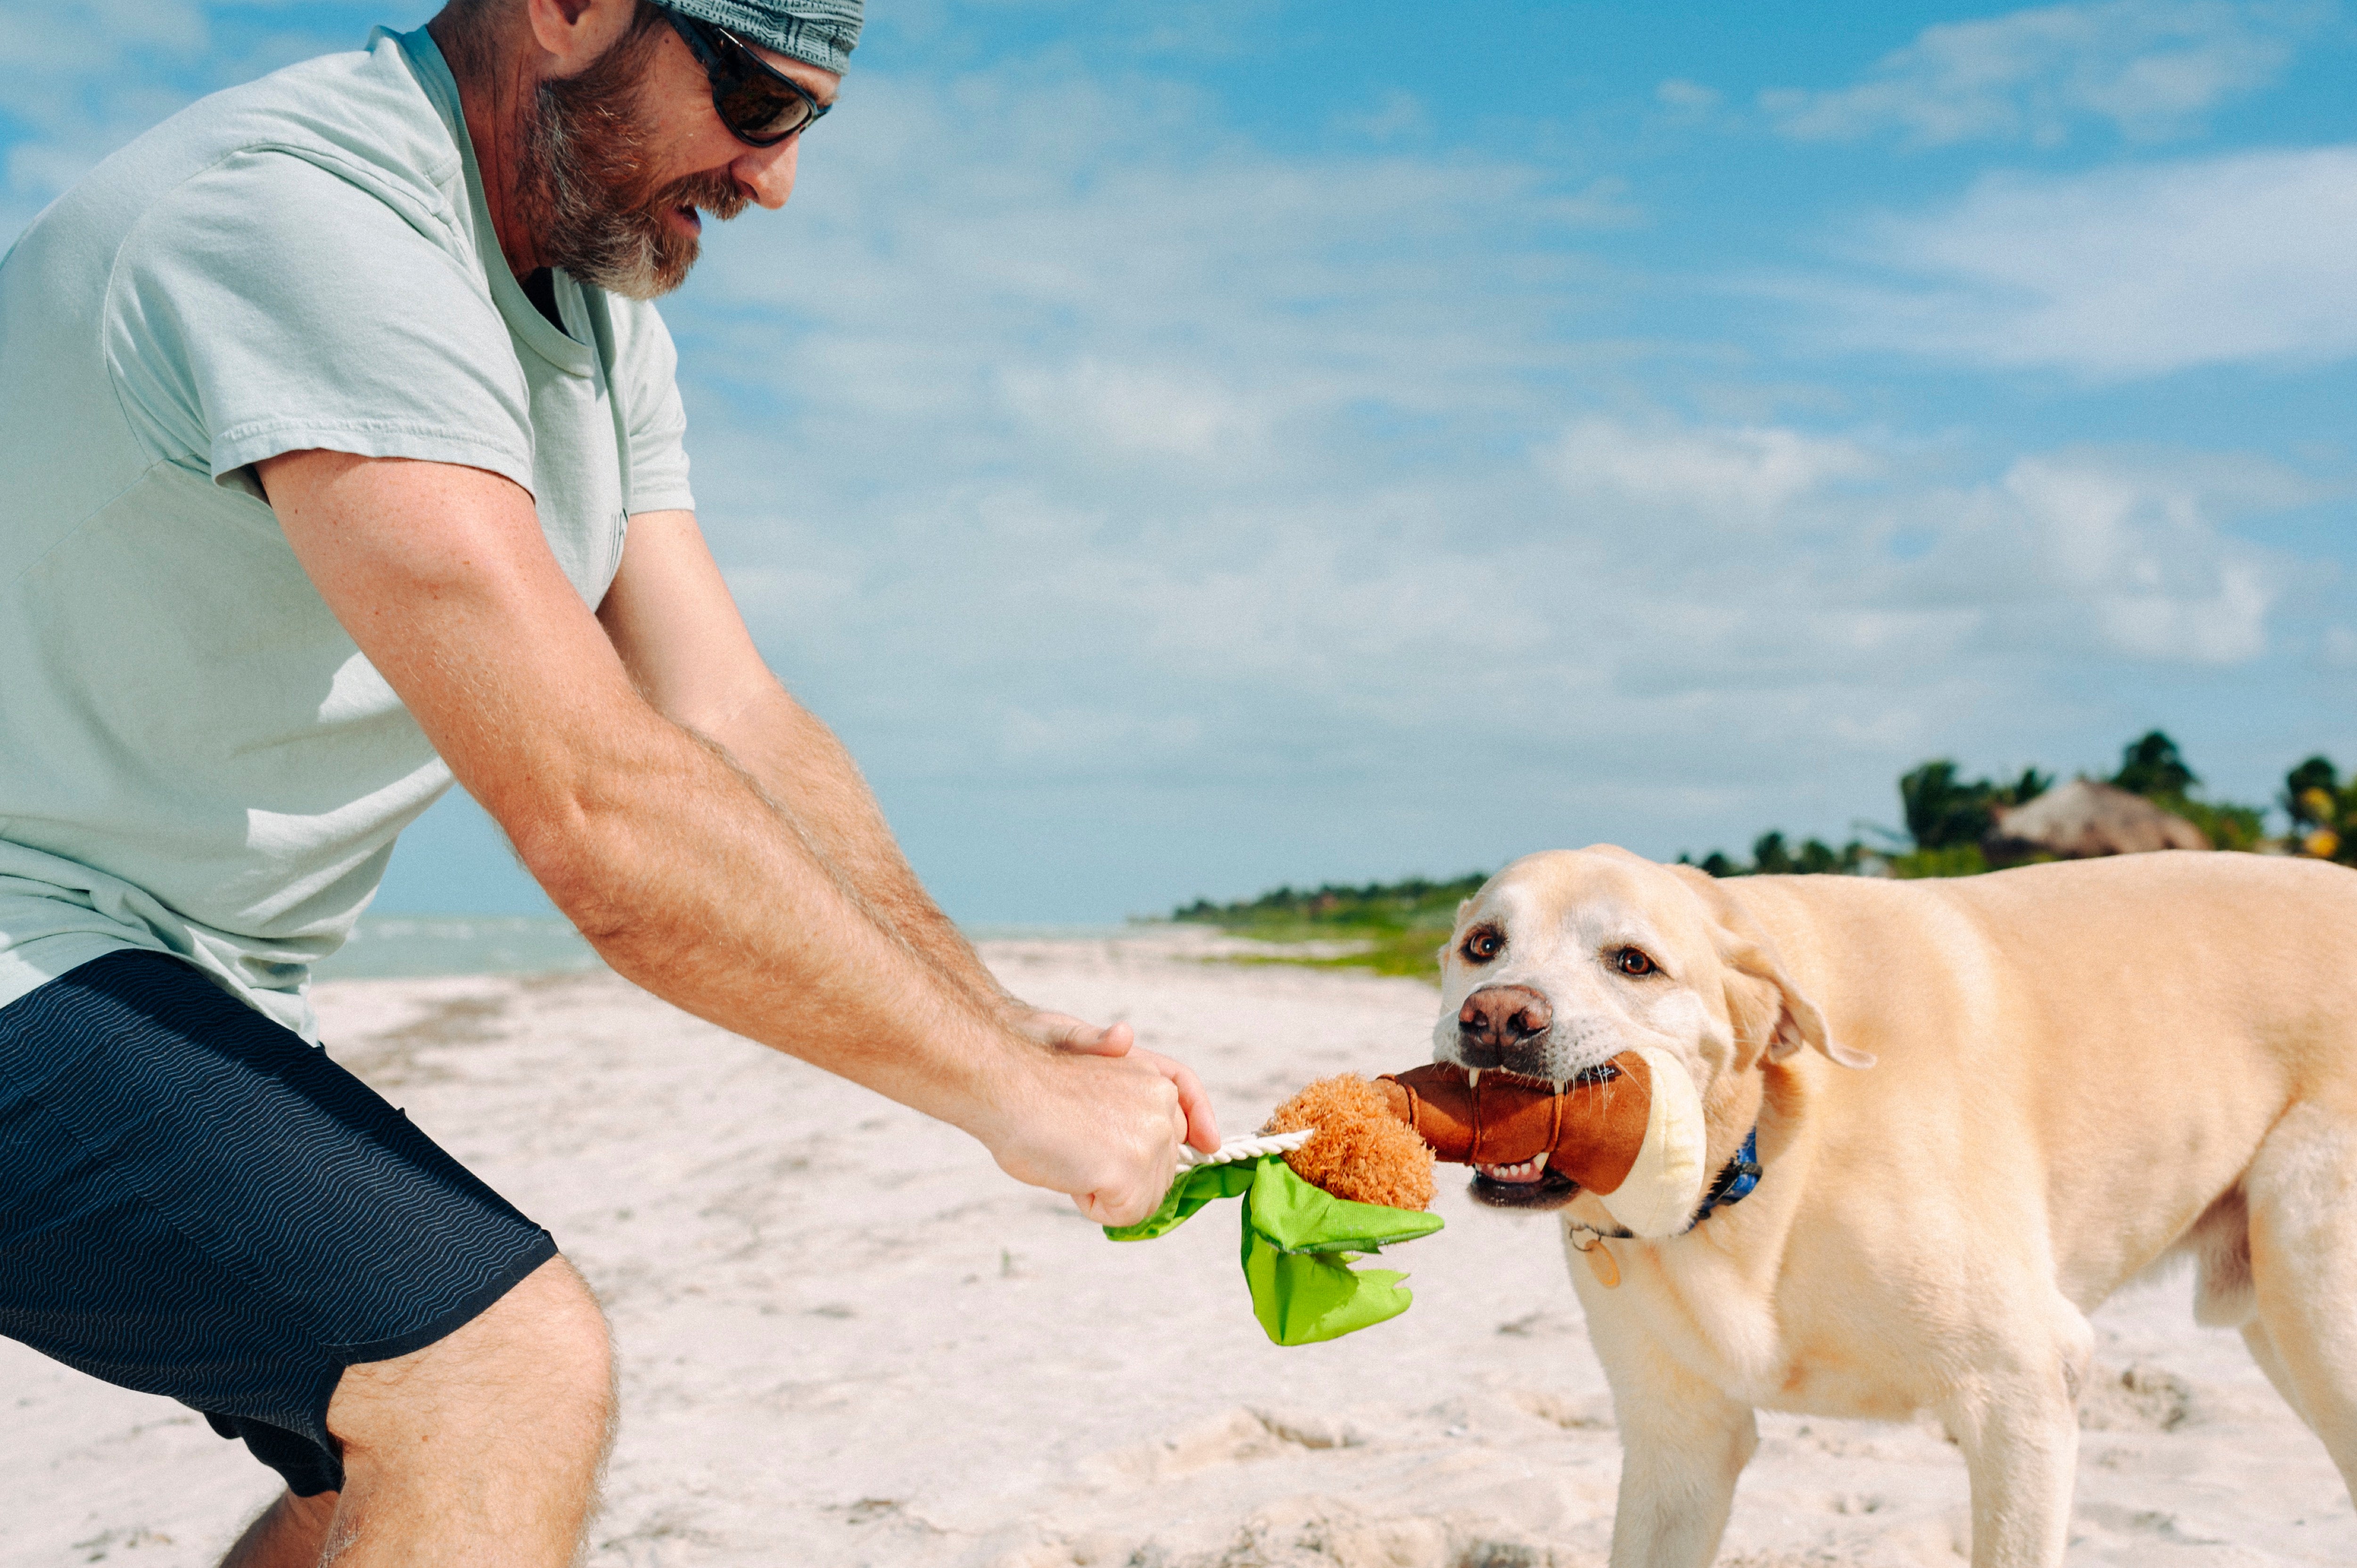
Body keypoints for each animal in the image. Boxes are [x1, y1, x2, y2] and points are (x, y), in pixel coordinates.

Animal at [1424, 844, 2357, 1565]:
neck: (1760, 1148)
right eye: (1482, 944)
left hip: (2316, 1308)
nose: (1496, 1016)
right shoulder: (1678, 1445)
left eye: (1632, 961)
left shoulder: (2023, 1389)